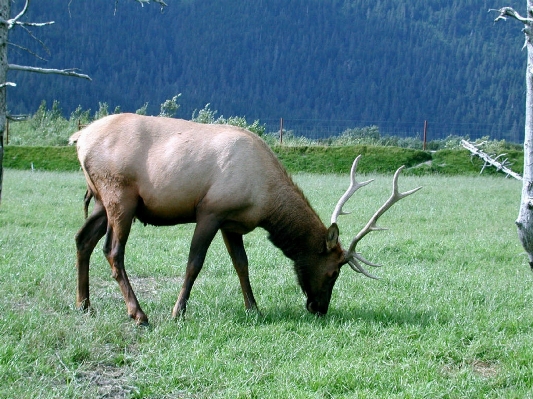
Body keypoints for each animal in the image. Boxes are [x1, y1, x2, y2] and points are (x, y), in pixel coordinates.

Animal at [71, 114, 420, 326]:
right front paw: (178, 311)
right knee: (113, 251)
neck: (264, 200)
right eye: (333, 271)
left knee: (82, 239)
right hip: (121, 195)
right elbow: (194, 263)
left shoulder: (231, 222)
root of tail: (79, 136)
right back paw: (139, 314)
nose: (320, 309)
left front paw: (254, 308)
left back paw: (84, 304)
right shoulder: (211, 210)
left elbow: (241, 263)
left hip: (101, 199)